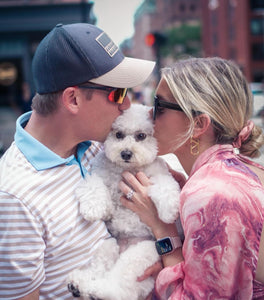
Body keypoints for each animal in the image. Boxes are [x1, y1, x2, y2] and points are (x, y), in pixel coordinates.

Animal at [67, 104, 182, 298]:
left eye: (141, 136)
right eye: (118, 134)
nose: (126, 153)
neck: (126, 170)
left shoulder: (159, 174)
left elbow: (165, 185)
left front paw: (169, 211)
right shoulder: (100, 178)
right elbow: (93, 185)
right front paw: (92, 208)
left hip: (142, 252)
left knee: (119, 289)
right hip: (109, 245)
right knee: (102, 272)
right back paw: (79, 284)